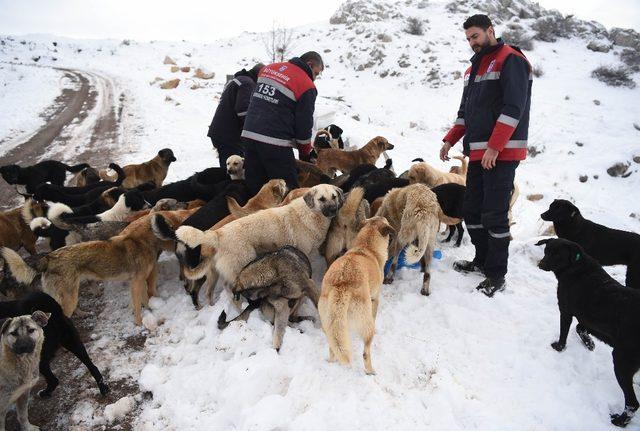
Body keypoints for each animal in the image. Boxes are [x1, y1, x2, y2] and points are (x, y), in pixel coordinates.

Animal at [318, 218, 392, 376]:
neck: (366, 247)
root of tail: (342, 284)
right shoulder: (375, 299)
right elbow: (375, 315)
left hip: (329, 323)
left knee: (333, 347)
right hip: (366, 324)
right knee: (365, 352)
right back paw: (370, 371)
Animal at [536, 240, 640, 428]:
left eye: (557, 254)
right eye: (546, 251)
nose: (541, 264)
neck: (575, 266)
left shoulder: (566, 310)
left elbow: (565, 332)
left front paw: (559, 347)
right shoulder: (588, 318)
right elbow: (580, 328)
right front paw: (589, 344)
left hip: (621, 361)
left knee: (633, 403)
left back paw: (619, 421)